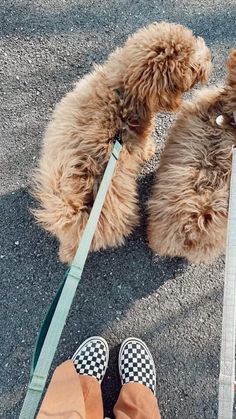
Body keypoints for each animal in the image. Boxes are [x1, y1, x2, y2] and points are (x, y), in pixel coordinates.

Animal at [32, 21, 211, 264]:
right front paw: (150, 150)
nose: (210, 57)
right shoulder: (139, 136)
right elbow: (144, 147)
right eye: (191, 67)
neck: (123, 89)